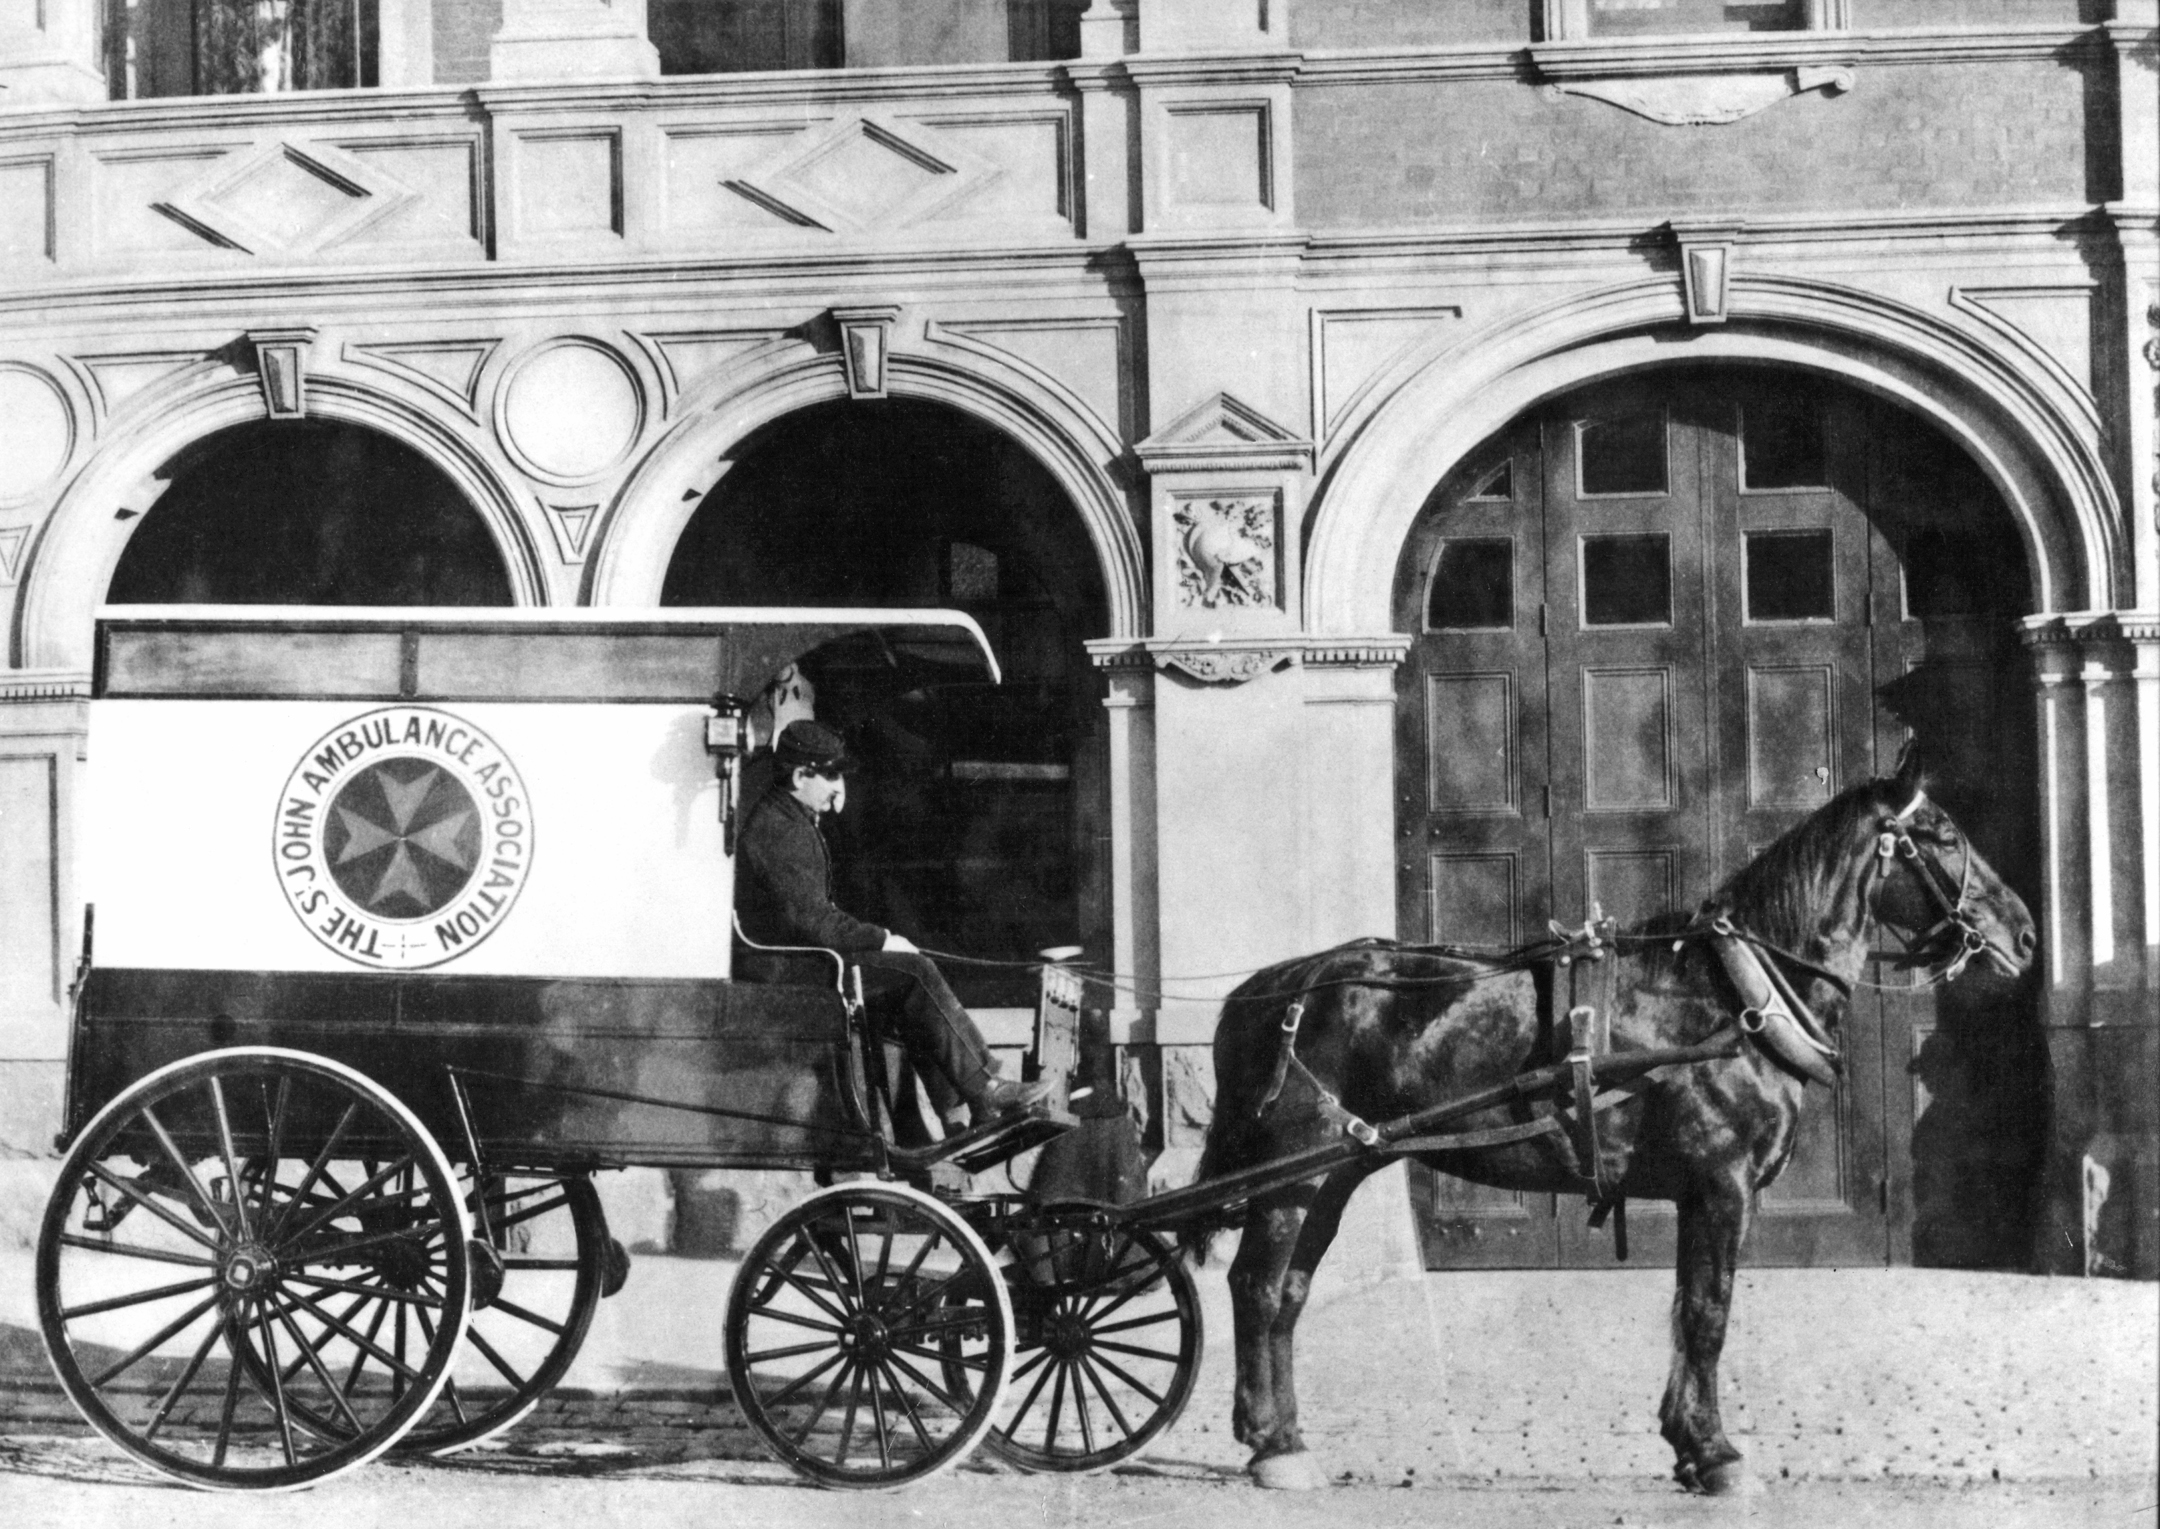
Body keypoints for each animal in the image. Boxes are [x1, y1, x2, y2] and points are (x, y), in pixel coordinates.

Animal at [1184, 756, 2036, 1494]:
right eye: (1944, 834)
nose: (2024, 933)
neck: (1732, 998)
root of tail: (1280, 984)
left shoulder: (1701, 1194)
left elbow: (1690, 1309)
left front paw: (1688, 1442)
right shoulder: (1723, 1185)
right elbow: (1708, 1314)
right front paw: (1717, 1451)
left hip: (1335, 1172)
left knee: (1289, 1292)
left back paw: (1283, 1433)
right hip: (1293, 1175)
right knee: (1257, 1285)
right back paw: (1272, 1444)